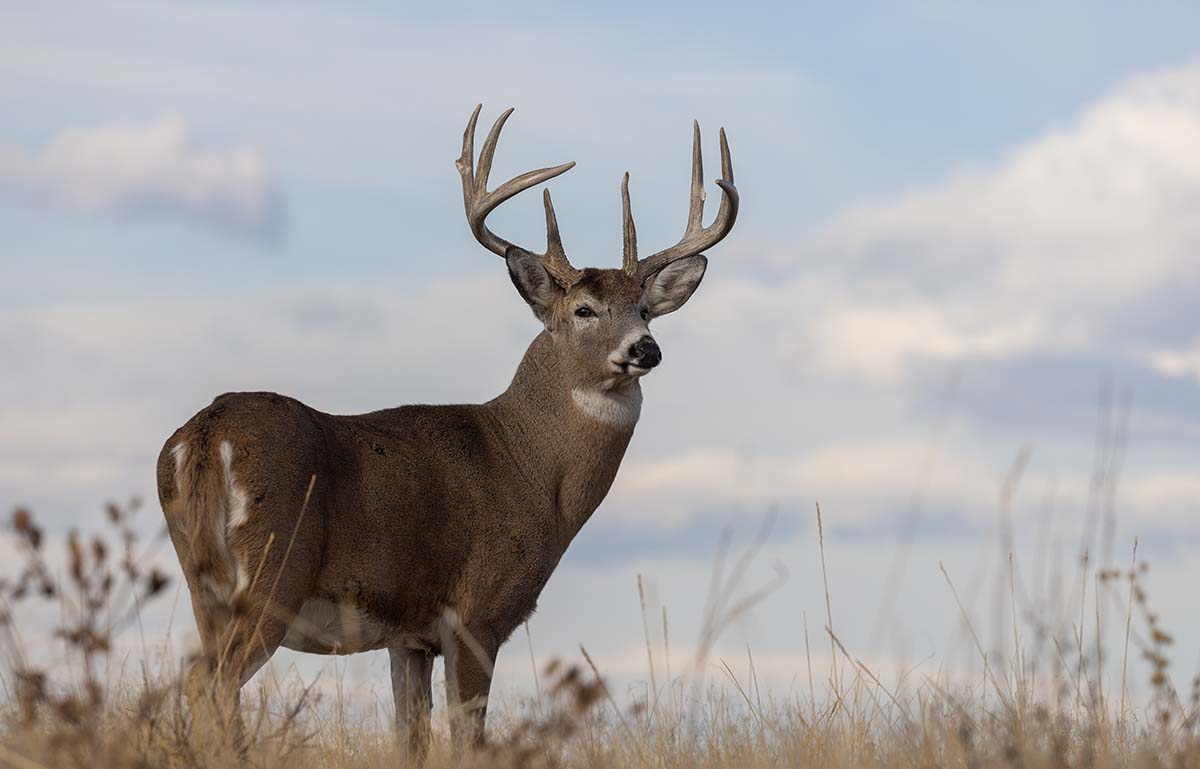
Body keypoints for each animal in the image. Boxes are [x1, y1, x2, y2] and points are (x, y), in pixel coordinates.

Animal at [156, 104, 738, 756]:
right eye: (583, 309)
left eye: (643, 308)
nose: (645, 348)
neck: (525, 465)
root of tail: (204, 435)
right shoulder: (477, 611)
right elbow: (468, 737)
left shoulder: (409, 637)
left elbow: (410, 735)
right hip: (271, 575)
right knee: (207, 681)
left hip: (202, 583)